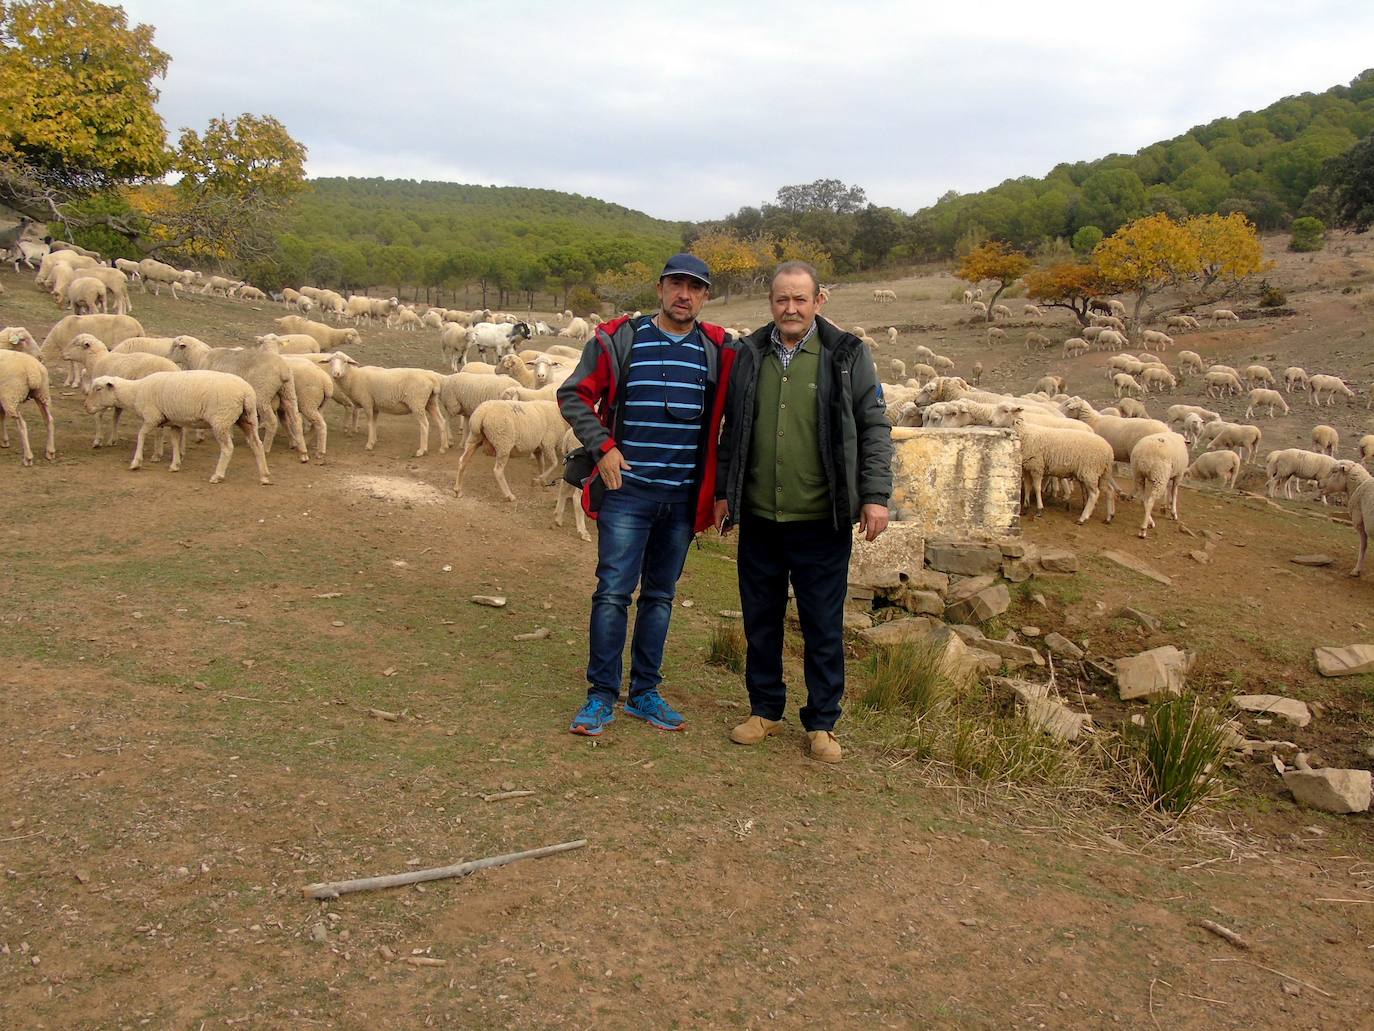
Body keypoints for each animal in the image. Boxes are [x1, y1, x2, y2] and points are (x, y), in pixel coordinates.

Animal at [85, 373, 270, 486]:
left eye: (98, 389)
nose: (86, 406)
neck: (135, 392)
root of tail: (246, 392)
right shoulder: (174, 421)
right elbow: (174, 442)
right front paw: (175, 464)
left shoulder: (152, 417)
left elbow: (141, 435)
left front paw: (136, 462)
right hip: (247, 419)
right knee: (257, 444)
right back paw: (264, 476)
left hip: (221, 420)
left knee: (227, 448)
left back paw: (217, 475)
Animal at [169, 336, 306, 461]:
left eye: (175, 345)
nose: (168, 358)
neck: (199, 358)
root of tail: (283, 370)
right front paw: (231, 434)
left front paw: (200, 435)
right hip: (288, 391)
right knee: (296, 419)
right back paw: (303, 452)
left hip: (263, 396)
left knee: (272, 422)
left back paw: (266, 448)